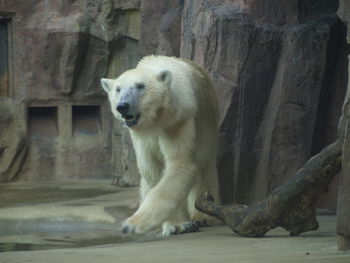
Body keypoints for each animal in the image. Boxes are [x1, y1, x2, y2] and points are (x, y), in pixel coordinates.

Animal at [100, 56, 219, 237]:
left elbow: (180, 165)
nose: (122, 106)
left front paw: (132, 224)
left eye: (140, 86)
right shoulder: (140, 137)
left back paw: (202, 216)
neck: (157, 119)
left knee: (204, 167)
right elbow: (151, 169)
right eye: (118, 89)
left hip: (208, 126)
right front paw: (177, 224)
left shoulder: (179, 121)